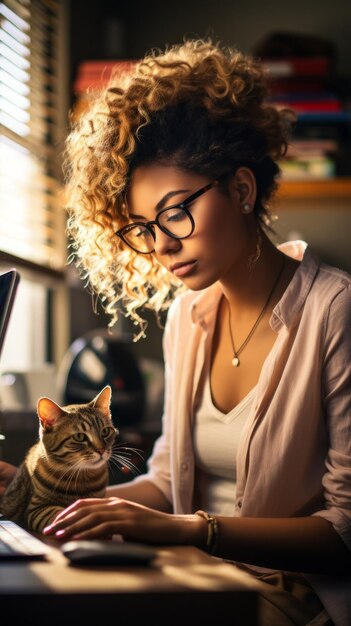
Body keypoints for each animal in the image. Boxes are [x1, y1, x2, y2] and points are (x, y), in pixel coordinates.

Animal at [0, 386, 118, 532]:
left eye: (105, 432)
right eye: (79, 437)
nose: (101, 450)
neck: (82, 476)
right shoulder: (36, 509)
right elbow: (59, 513)